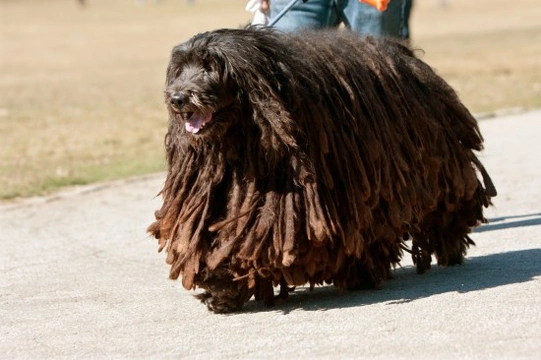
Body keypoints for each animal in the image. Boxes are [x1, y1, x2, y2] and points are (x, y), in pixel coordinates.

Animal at [147, 27, 494, 312]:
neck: (244, 136)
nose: (177, 97)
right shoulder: (219, 188)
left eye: (212, 66)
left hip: (435, 164)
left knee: (444, 205)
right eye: (180, 69)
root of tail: (407, 57)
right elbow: (218, 235)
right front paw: (220, 286)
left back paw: (447, 247)